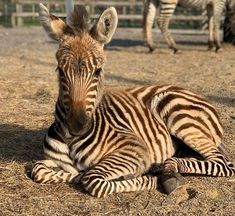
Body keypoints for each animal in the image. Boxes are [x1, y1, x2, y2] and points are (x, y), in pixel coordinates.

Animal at [31, 4, 235, 198]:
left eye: (98, 71)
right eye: (60, 71)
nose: (77, 127)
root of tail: (190, 91)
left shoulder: (134, 150)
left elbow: (93, 179)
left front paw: (146, 179)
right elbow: (38, 170)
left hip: (179, 117)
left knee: (224, 164)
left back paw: (166, 172)